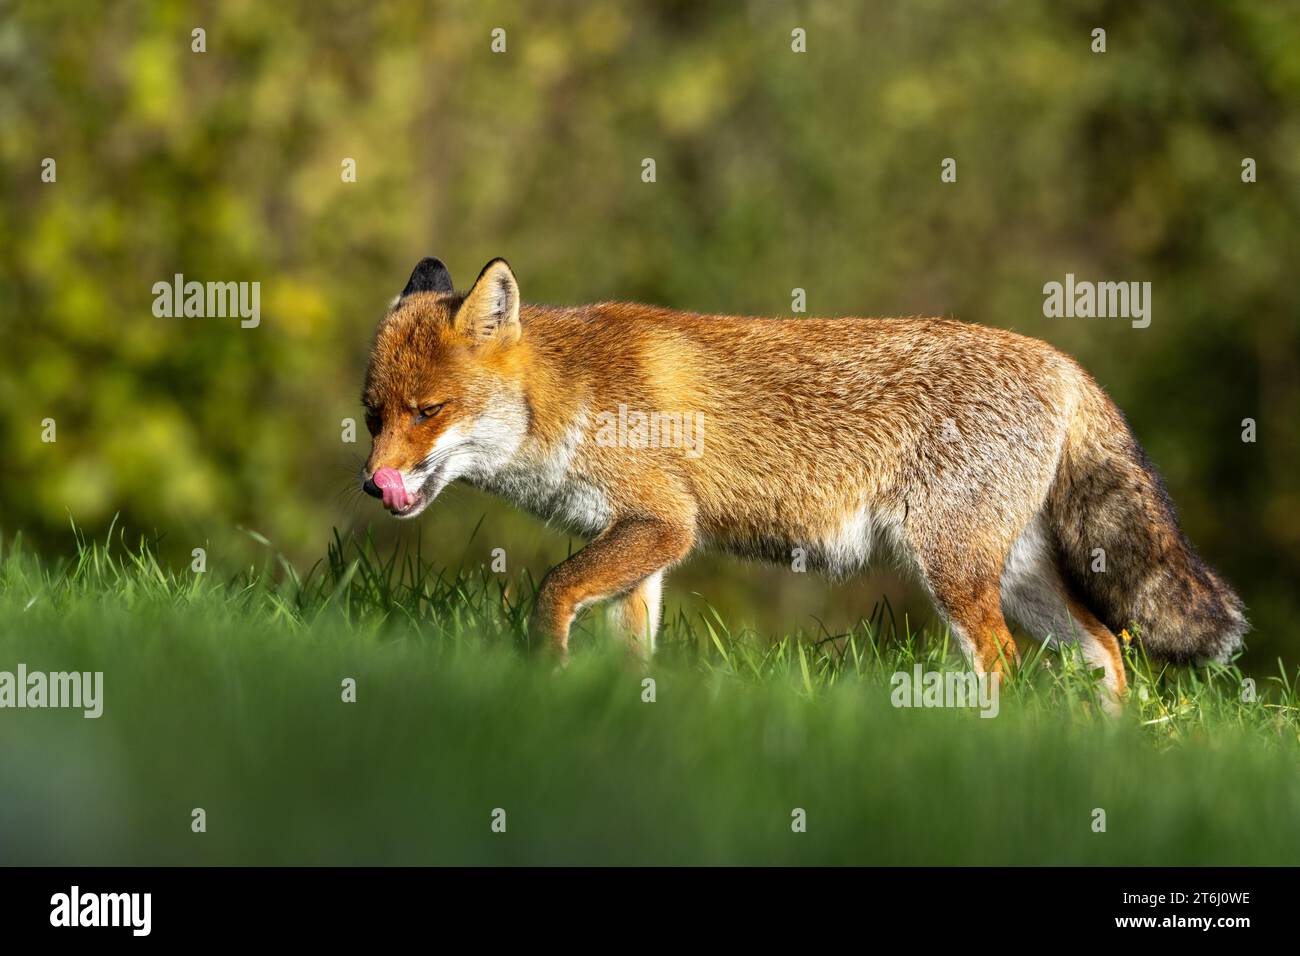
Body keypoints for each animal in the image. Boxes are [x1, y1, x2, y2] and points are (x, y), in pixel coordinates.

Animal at [359, 256, 1248, 699]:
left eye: (428, 411)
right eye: (372, 415)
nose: (373, 486)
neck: (568, 397)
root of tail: (1063, 362)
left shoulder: (664, 523)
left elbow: (551, 592)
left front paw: (544, 674)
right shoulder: (643, 547)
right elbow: (631, 648)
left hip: (954, 571)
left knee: (1005, 664)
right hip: (1015, 576)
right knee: (1106, 651)